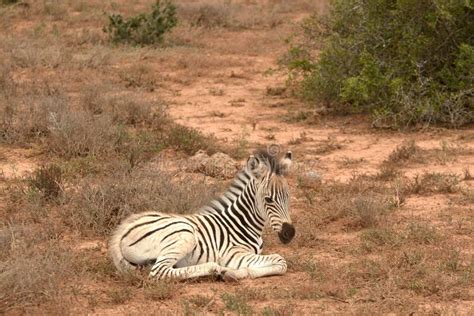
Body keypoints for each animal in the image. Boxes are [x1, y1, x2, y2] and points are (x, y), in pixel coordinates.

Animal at [110, 149, 296, 280]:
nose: (290, 233)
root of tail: (124, 228)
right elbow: (281, 261)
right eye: (268, 199)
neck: (242, 223)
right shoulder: (234, 254)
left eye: (287, 197)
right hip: (184, 233)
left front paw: (238, 272)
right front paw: (232, 272)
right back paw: (214, 268)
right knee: (159, 271)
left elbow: (278, 263)